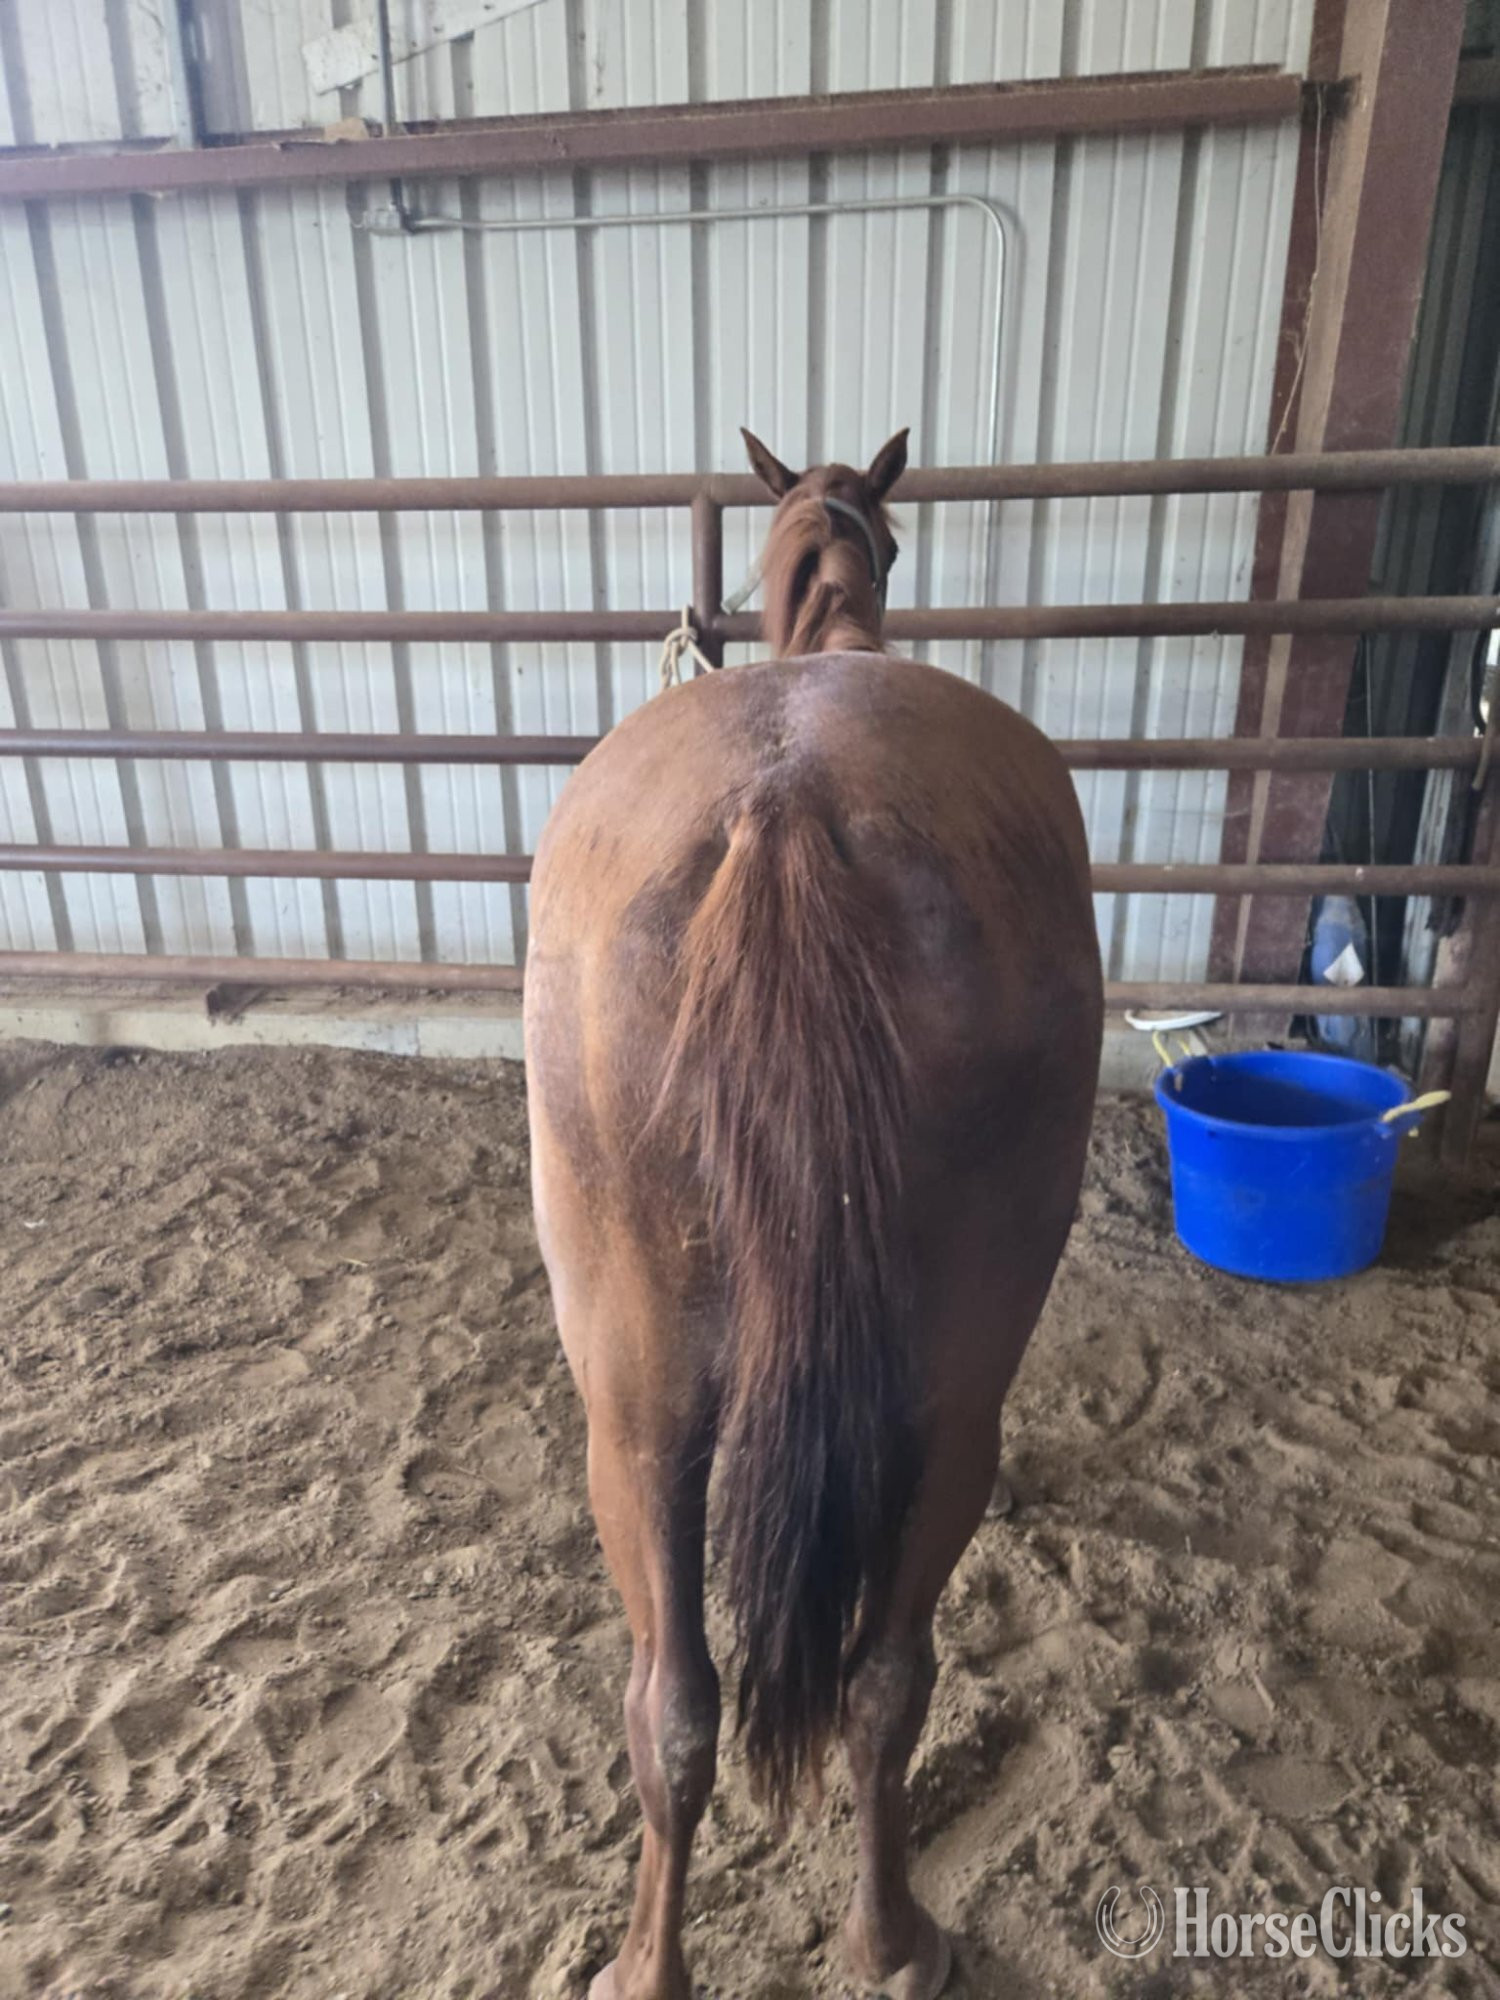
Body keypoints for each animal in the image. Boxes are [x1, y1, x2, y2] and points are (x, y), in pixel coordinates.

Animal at [523, 427, 1103, 2000]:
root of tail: (784, 807)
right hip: (919, 1407)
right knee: (858, 1683)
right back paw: (880, 1941)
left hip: (641, 1417)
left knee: (695, 1701)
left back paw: (703, 1959)